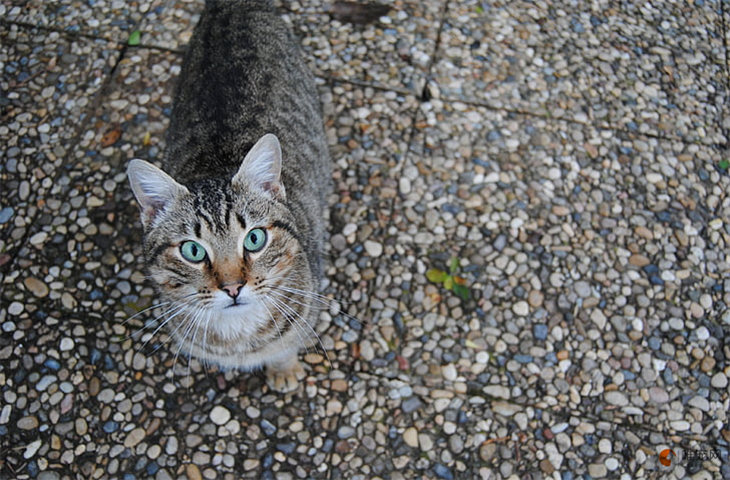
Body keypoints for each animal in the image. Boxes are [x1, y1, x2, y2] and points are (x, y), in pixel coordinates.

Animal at [126, 0, 330, 392]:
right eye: (192, 251)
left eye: (254, 239)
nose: (233, 288)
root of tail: (231, 5)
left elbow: (287, 345)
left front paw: (284, 369)